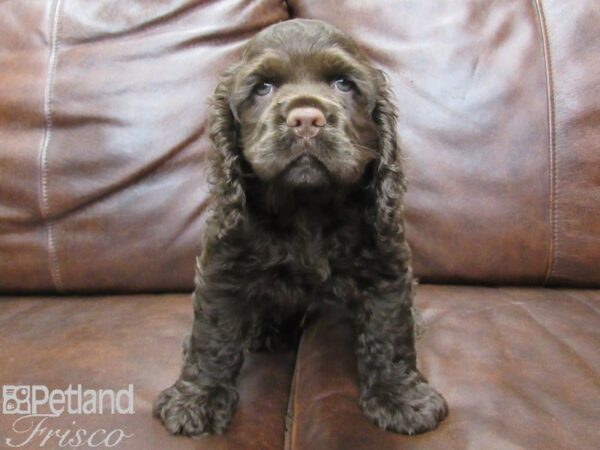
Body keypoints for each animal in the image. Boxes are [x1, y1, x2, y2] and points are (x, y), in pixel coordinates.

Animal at [152, 18, 448, 436]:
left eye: (343, 84)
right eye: (263, 87)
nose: (306, 119)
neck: (306, 206)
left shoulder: (386, 266)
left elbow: (388, 331)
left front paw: (401, 398)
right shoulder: (221, 265)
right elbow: (212, 334)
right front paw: (197, 399)